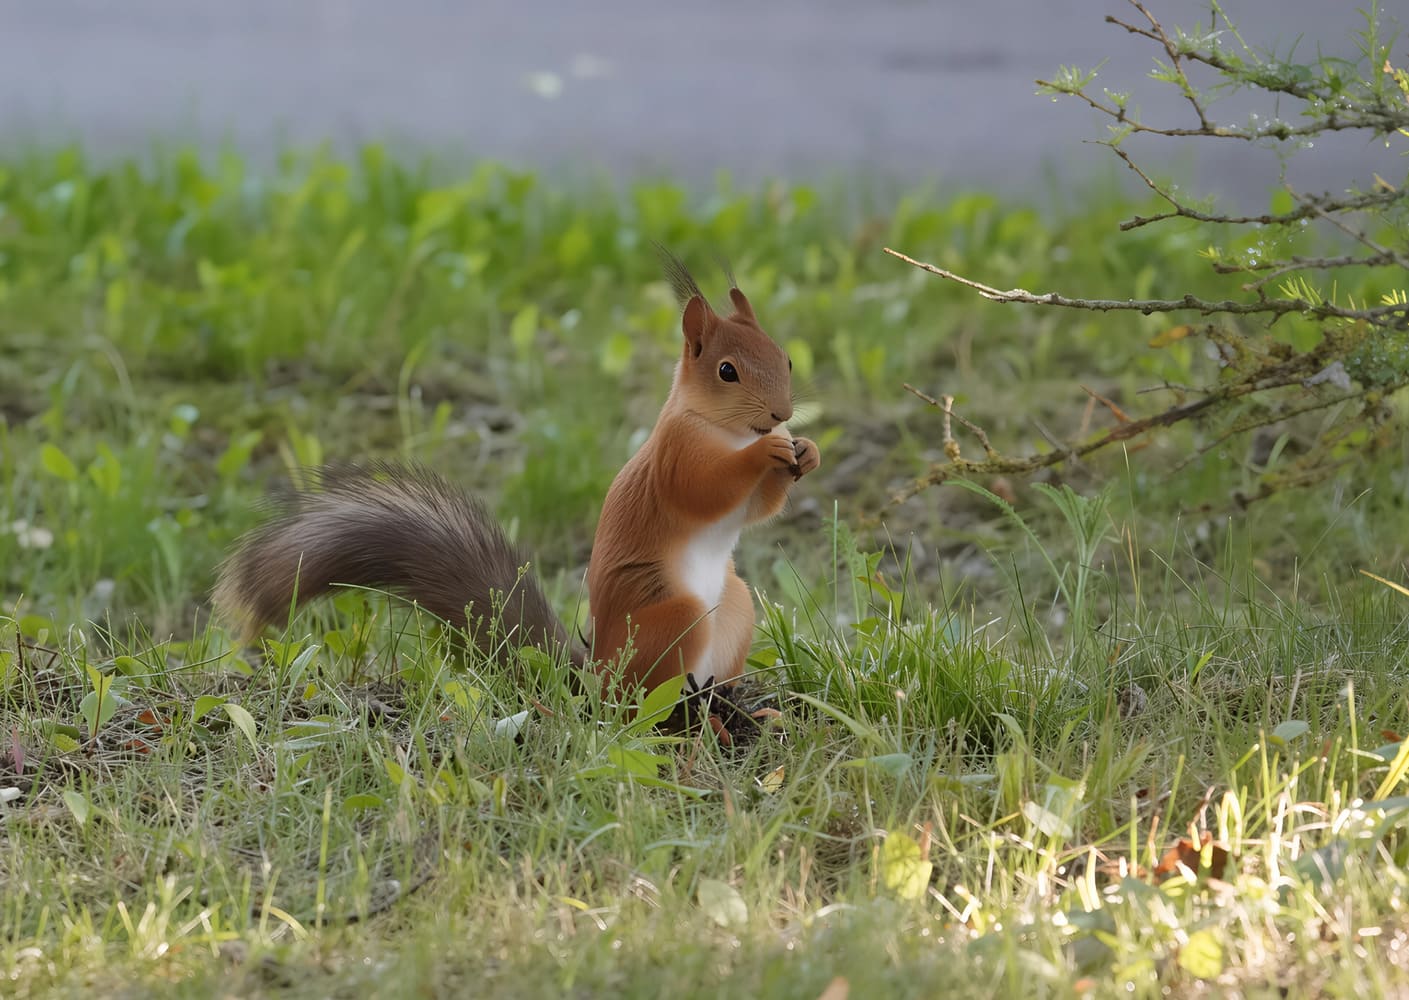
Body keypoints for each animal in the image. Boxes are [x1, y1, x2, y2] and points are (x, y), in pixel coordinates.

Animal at [213, 252, 820, 696]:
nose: (781, 415)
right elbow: (704, 491)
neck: (725, 431)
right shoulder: (674, 456)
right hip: (674, 620)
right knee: (645, 703)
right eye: (727, 371)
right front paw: (764, 455)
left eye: (786, 358)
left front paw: (806, 452)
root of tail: (594, 675)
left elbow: (757, 509)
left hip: (735, 606)